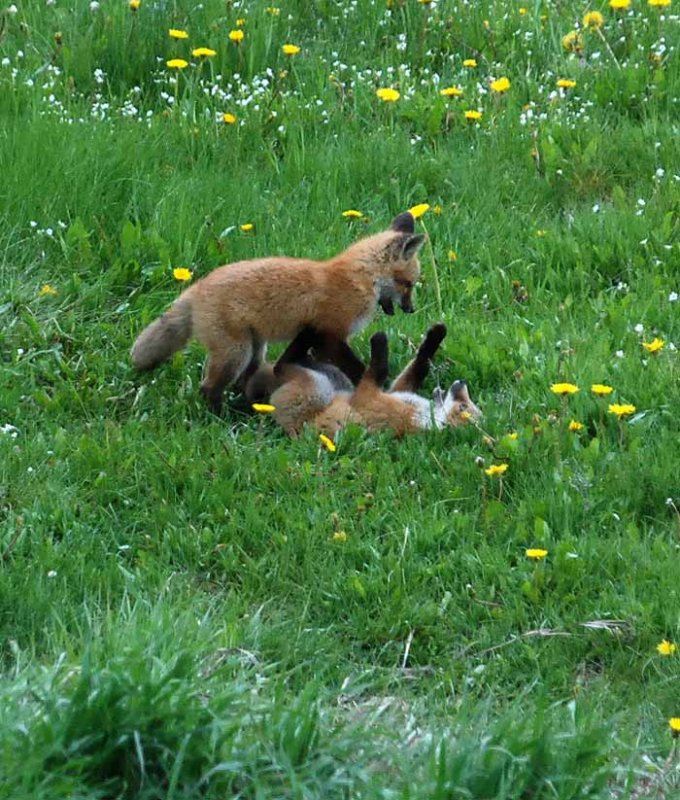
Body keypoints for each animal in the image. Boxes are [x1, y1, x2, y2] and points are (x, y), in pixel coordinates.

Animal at [130, 212, 422, 412]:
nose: (411, 309)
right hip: (235, 353)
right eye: (409, 284)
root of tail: (197, 287)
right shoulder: (330, 334)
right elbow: (356, 367)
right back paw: (218, 417)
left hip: (255, 349)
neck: (360, 279)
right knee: (209, 388)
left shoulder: (316, 337)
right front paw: (378, 386)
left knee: (242, 382)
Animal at [244, 324, 484, 438]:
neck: (424, 415)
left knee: (283, 364)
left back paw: (307, 335)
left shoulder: (368, 396)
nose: (461, 382)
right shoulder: (396, 391)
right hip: (335, 379)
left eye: (463, 407)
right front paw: (436, 335)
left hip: (316, 389)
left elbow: (380, 368)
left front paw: (380, 339)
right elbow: (420, 365)